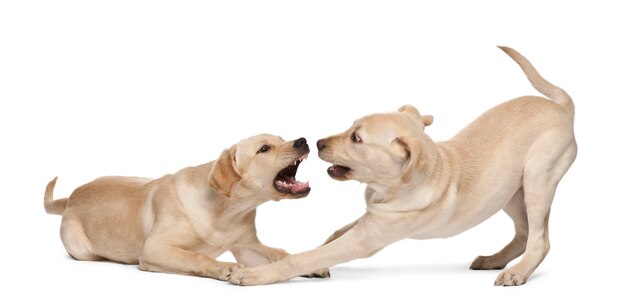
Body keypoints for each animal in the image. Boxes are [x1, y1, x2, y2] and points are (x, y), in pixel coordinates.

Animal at [44, 134, 330, 280]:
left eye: (282, 138)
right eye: (264, 149)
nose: (302, 140)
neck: (228, 211)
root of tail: (71, 196)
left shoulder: (247, 248)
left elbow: (281, 253)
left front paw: (311, 263)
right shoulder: (155, 248)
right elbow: (196, 256)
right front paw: (225, 267)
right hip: (81, 249)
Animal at [229, 46, 576, 286]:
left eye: (356, 138)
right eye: (350, 127)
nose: (317, 143)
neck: (390, 187)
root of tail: (561, 108)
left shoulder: (368, 237)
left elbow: (309, 255)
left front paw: (258, 274)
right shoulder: (369, 219)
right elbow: (330, 238)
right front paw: (313, 266)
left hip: (536, 178)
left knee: (540, 238)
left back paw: (518, 271)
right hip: (509, 192)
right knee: (524, 232)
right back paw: (495, 260)